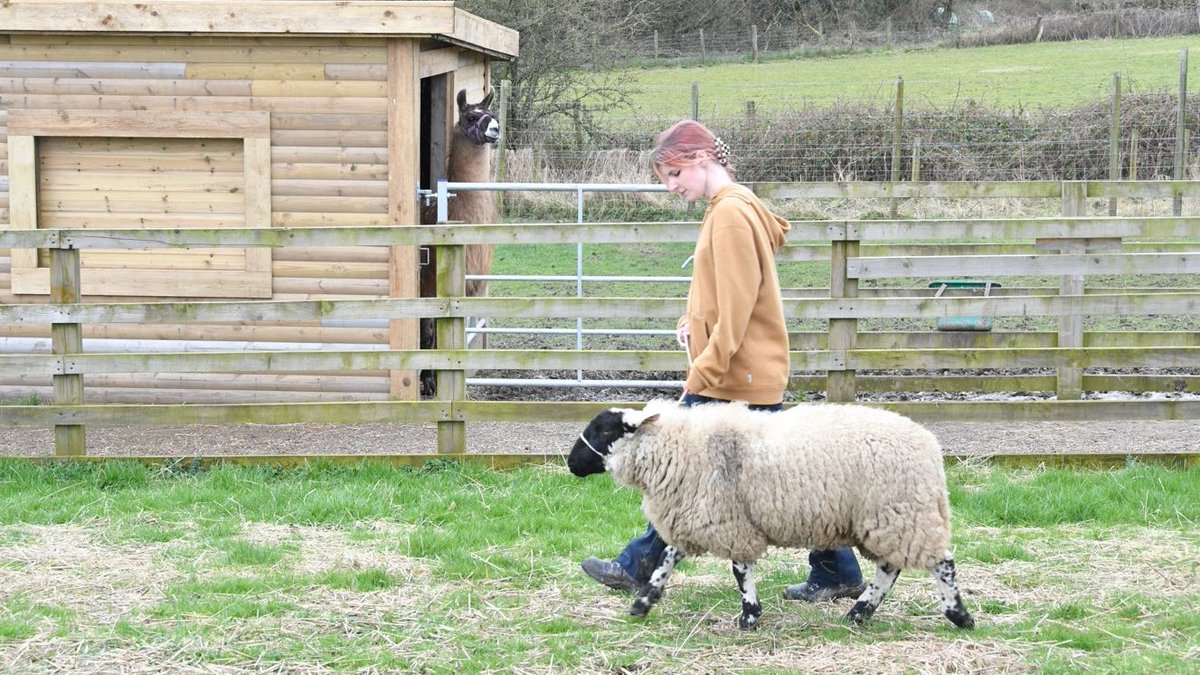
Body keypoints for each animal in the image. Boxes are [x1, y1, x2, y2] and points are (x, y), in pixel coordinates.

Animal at [564, 396, 974, 629]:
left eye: (603, 430)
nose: (569, 463)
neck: (678, 447)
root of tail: (930, 445)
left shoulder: (729, 521)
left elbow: (739, 571)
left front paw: (749, 616)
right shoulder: (697, 516)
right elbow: (665, 561)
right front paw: (642, 603)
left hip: (902, 513)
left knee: (941, 563)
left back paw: (959, 615)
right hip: (886, 519)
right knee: (890, 568)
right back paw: (859, 613)